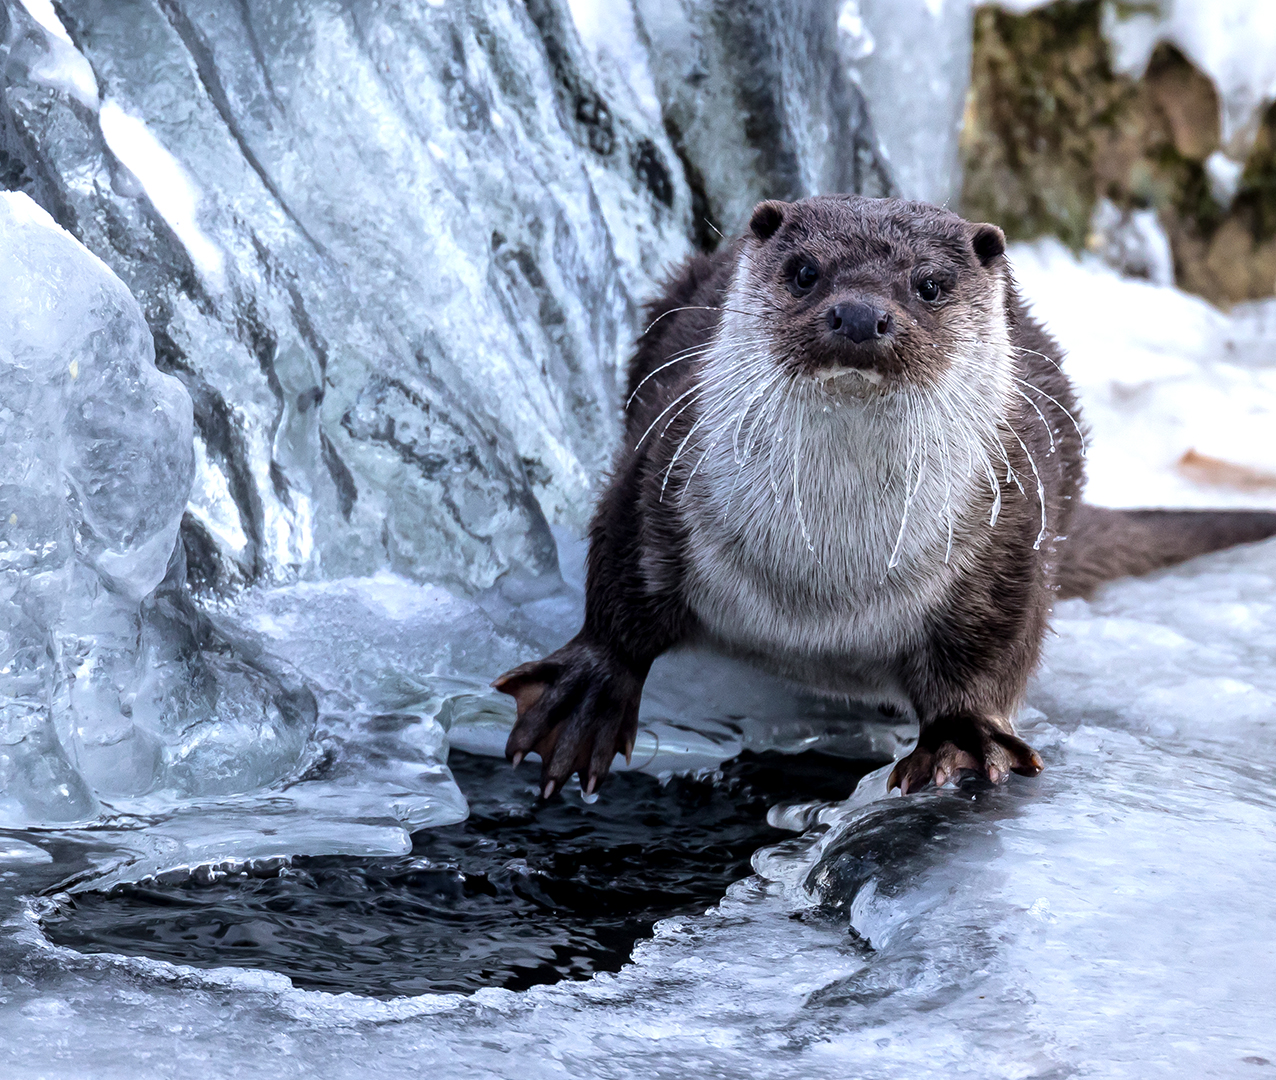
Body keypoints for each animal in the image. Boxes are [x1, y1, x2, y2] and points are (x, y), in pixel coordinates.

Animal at [492, 196, 1276, 796]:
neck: (821, 585)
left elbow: (993, 648)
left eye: (929, 284)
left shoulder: (1009, 530)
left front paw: (963, 740)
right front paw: (588, 695)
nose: (860, 315)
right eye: (804, 272)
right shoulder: (664, 462)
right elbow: (620, 576)